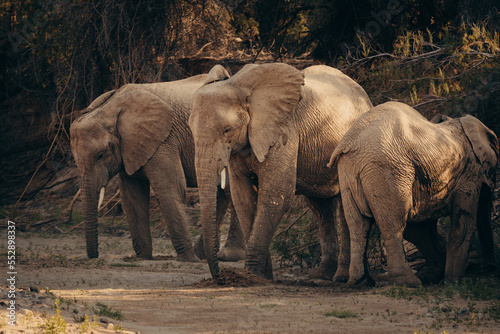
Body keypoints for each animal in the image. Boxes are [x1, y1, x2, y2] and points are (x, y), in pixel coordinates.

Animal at [69, 75, 243, 260]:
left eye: (101, 155)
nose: (95, 256)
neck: (110, 108)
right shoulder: (130, 148)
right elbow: (132, 197)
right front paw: (143, 258)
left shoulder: (163, 140)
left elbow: (169, 188)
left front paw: (189, 260)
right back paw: (205, 255)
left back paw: (227, 255)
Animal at [189, 62, 374, 280]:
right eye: (191, 129)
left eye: (227, 130)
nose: (218, 276)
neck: (240, 86)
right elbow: (243, 199)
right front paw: (262, 276)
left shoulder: (285, 131)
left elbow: (276, 195)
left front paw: (253, 276)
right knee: (320, 206)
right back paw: (322, 274)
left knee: (345, 206)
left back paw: (341, 278)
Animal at [328, 102, 500, 288]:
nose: (488, 268)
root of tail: (349, 142)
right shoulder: (469, 173)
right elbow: (463, 224)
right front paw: (450, 282)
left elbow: (419, 229)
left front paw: (432, 276)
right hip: (388, 172)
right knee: (394, 226)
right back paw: (410, 282)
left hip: (348, 173)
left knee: (359, 225)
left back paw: (362, 282)